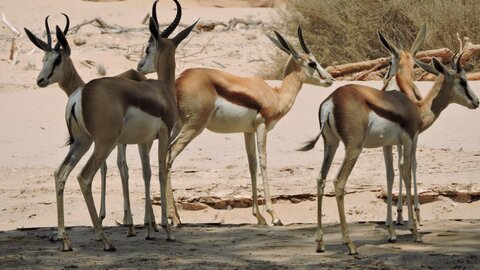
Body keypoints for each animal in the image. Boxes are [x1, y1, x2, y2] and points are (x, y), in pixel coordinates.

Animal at [144, 26, 334, 226]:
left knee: (161, 155)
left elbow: (252, 165)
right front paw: (274, 216)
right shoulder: (262, 126)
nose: (330, 78)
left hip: (176, 126)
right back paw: (173, 218)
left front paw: (259, 217)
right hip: (193, 126)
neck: (276, 95)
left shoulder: (247, 131)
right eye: (312, 63)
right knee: (170, 153)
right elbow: (263, 162)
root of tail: (179, 82)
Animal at [302, 56, 478, 254]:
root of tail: (330, 101)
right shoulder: (409, 140)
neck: (416, 108)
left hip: (331, 145)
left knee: (320, 179)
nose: (476, 101)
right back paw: (350, 245)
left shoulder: (386, 145)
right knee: (339, 182)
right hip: (353, 148)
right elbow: (407, 175)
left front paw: (391, 233)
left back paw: (320, 243)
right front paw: (415, 231)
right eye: (462, 80)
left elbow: (390, 176)